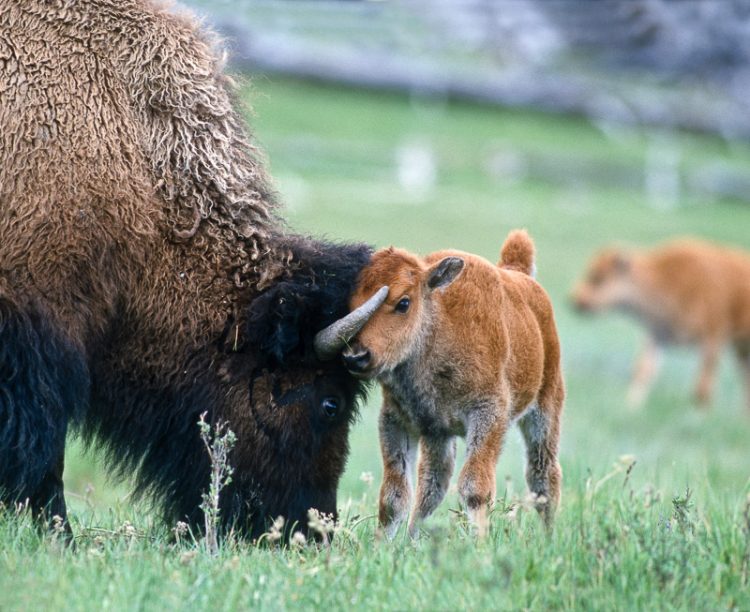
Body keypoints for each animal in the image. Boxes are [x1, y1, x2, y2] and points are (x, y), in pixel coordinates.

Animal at [340, 230, 564, 536]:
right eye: (351, 304)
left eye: (403, 302)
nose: (356, 356)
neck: (437, 328)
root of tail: (519, 275)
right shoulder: (399, 421)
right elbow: (394, 496)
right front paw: (382, 543)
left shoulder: (488, 415)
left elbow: (474, 487)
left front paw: (480, 541)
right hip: (439, 435)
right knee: (432, 485)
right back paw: (413, 537)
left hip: (545, 409)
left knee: (542, 474)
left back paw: (549, 537)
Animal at [568, 239, 750, 412]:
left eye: (598, 278)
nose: (574, 301)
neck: (664, 279)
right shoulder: (658, 336)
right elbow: (643, 370)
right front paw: (631, 407)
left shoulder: (713, 338)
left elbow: (702, 388)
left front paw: (699, 417)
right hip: (742, 349)